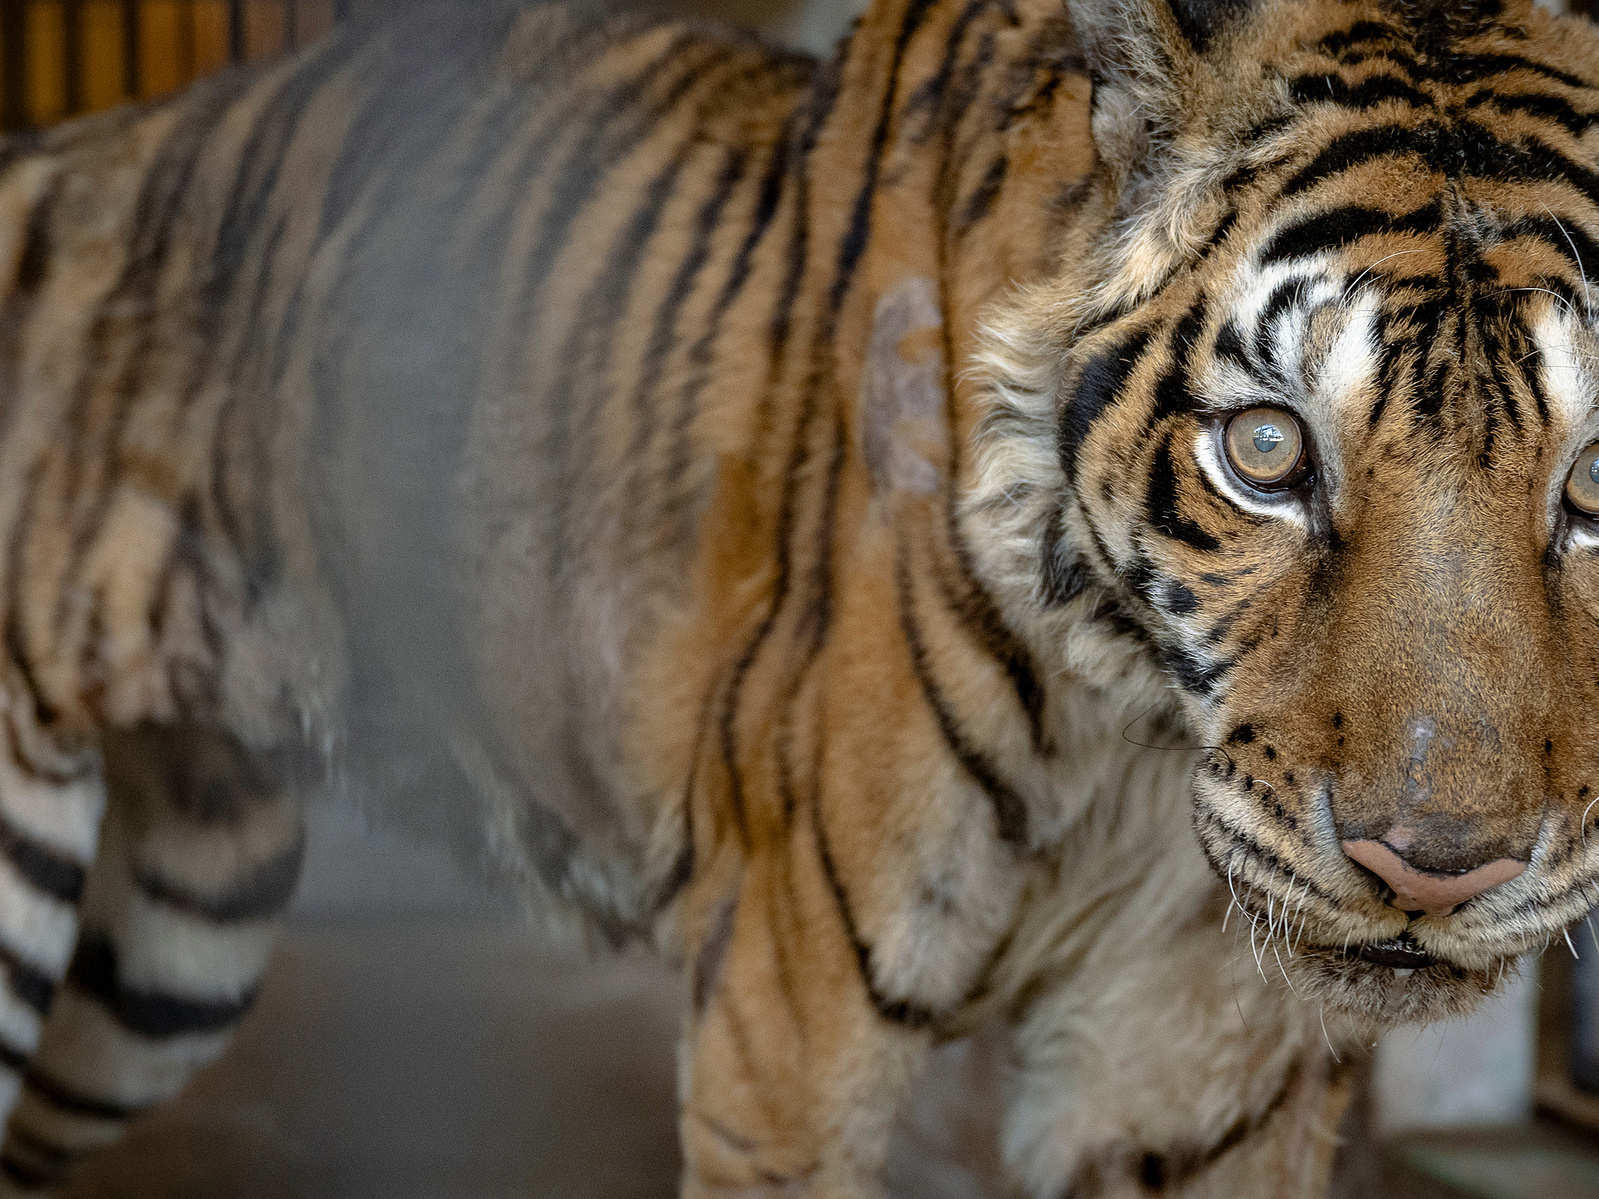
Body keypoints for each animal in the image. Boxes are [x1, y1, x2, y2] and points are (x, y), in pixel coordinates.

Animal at [0, 0, 1595, 1193]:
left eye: (1590, 484)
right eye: (1265, 450)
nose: (1429, 870)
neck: (1140, 743)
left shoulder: (1191, 1082)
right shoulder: (789, 1023)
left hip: (172, 940)